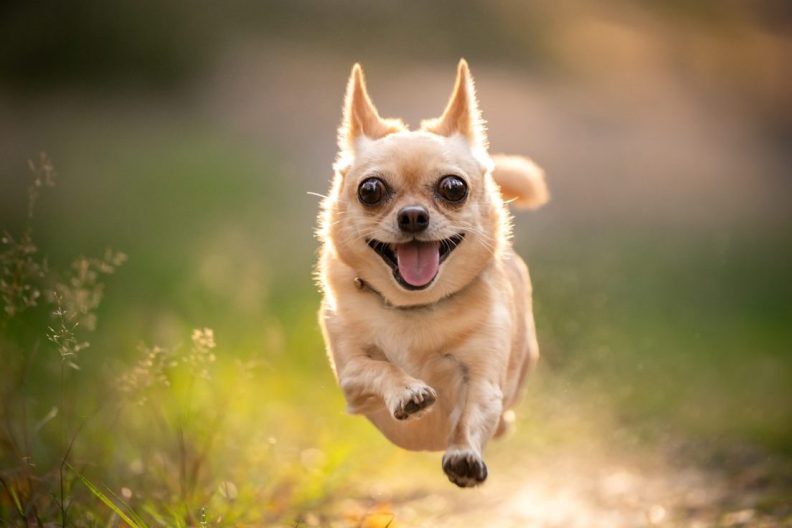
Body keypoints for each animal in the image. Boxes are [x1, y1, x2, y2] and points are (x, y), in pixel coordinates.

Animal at [318, 60, 548, 486]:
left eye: (453, 188)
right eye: (370, 190)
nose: (412, 215)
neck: (414, 308)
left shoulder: (484, 383)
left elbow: (472, 415)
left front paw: (464, 455)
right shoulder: (352, 378)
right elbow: (380, 366)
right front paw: (408, 392)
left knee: (502, 418)